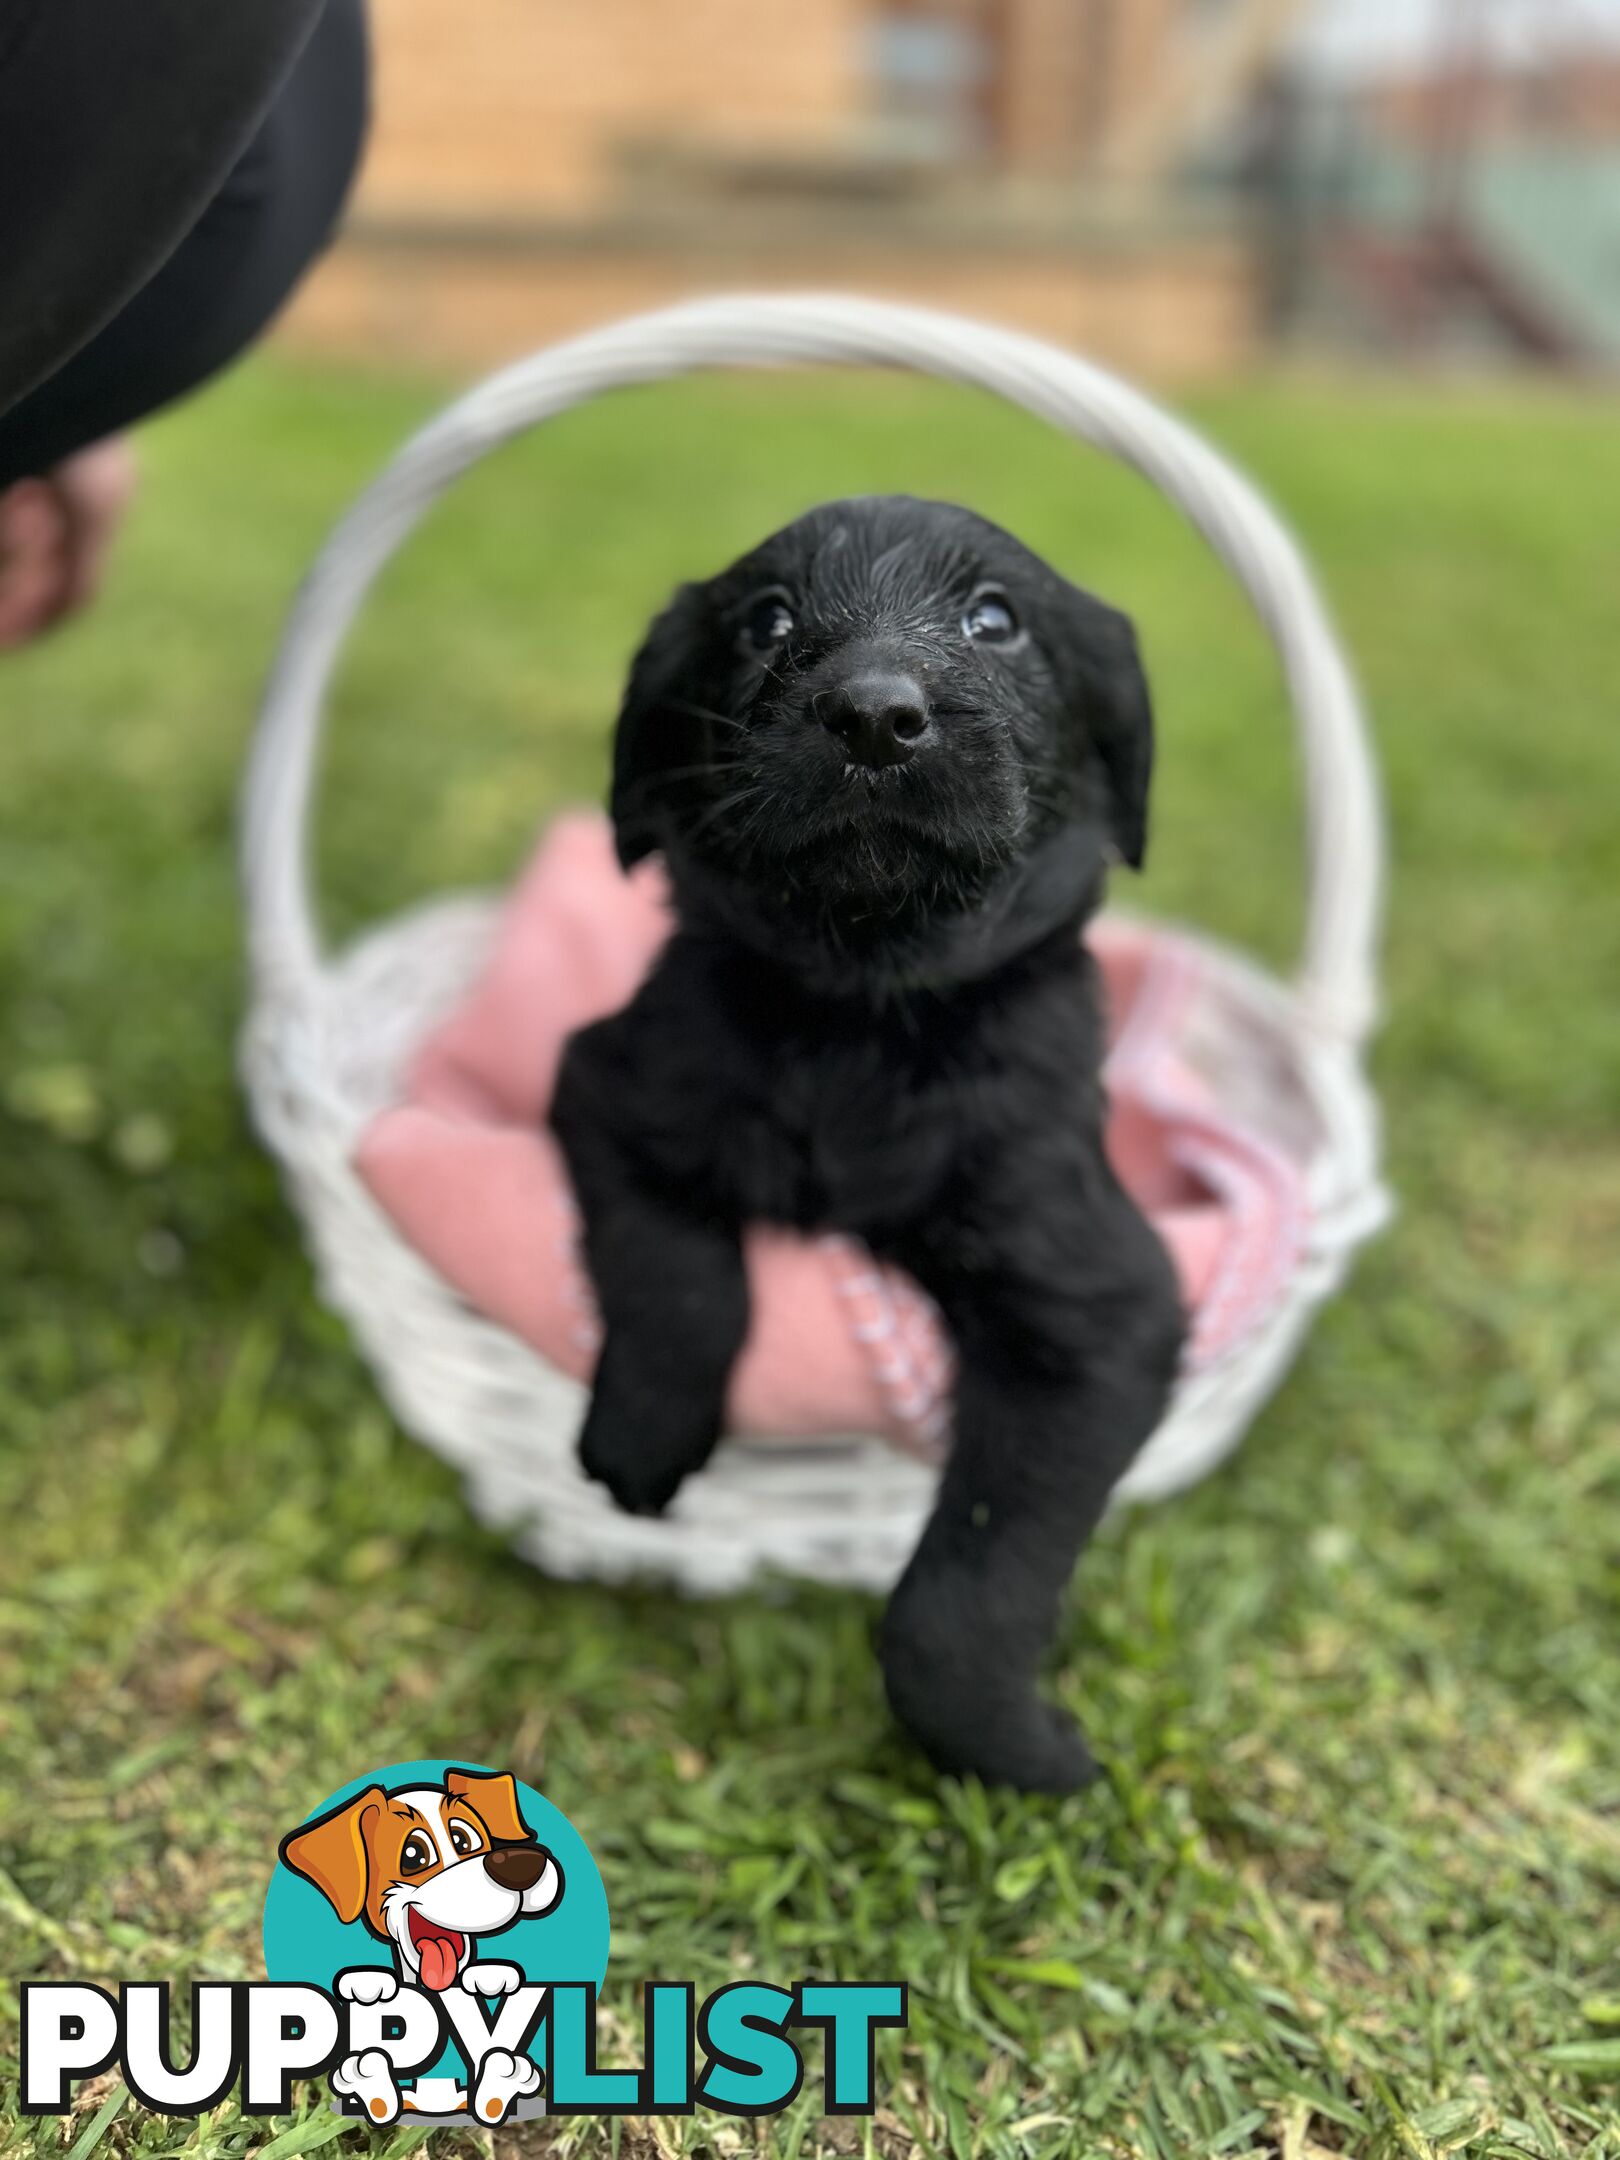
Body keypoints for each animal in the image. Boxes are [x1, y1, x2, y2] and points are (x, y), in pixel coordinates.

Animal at [552, 494, 1183, 1788]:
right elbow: (678, 1275)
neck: (859, 1010)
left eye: (995, 620)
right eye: (765, 618)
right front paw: (642, 1438)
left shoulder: (1097, 1312)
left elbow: (967, 1588)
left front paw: (1021, 1755)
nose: (876, 718)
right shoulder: (609, 1088)